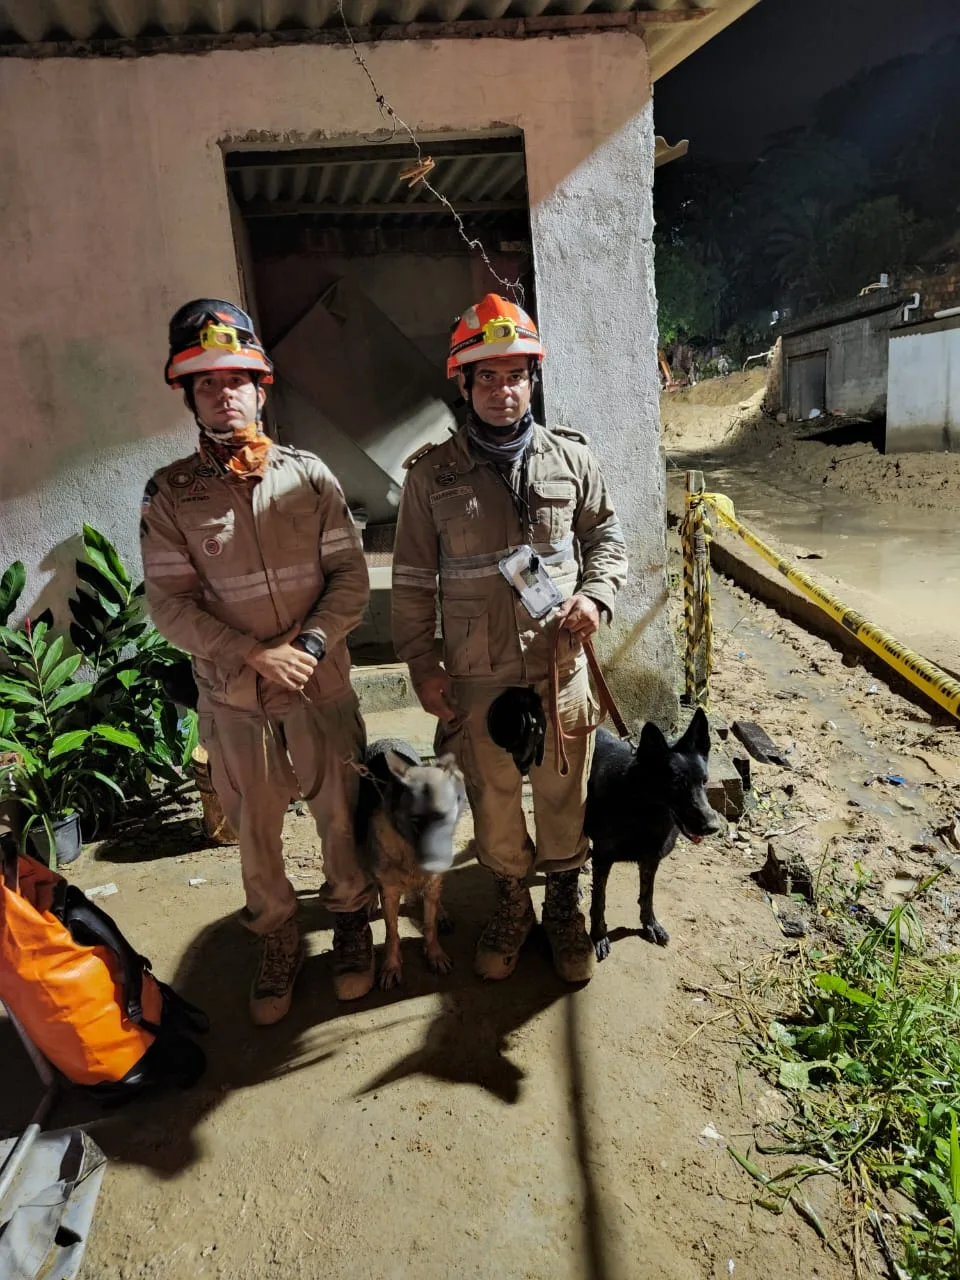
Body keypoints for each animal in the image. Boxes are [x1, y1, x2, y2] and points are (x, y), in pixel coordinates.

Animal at [358, 742, 471, 988]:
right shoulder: (389, 892)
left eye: (445, 818)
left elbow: (429, 925)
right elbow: (392, 933)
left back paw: (441, 913)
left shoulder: (432, 884)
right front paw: (391, 965)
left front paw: (435, 954)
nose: (438, 860)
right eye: (417, 821)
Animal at [586, 711, 721, 962]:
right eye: (677, 784)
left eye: (705, 781)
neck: (642, 809)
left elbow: (647, 896)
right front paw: (598, 936)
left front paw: (650, 925)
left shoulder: (651, 860)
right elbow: (599, 902)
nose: (713, 826)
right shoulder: (603, 860)